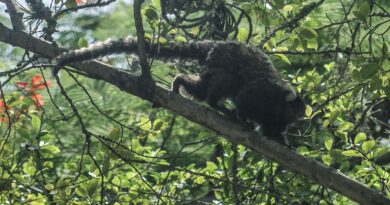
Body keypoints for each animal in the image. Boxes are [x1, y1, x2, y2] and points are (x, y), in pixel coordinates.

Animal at [55, 37, 304, 143]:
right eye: (298, 110)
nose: (302, 117)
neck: (277, 104)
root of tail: (218, 44)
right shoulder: (261, 95)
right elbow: (243, 99)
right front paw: (243, 118)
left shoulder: (276, 119)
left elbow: (274, 131)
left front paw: (283, 143)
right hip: (224, 60)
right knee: (228, 83)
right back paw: (216, 104)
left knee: (203, 88)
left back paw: (181, 82)